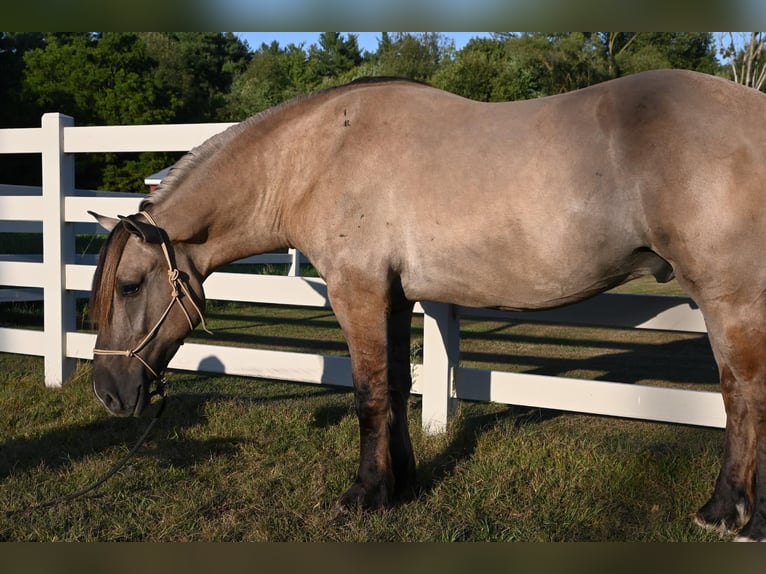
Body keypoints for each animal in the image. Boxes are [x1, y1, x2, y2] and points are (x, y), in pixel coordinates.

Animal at [90, 70, 766, 544]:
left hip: (730, 299)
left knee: (742, 395)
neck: (318, 157)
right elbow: (395, 387)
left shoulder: (357, 293)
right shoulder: (392, 297)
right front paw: (403, 484)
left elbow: (367, 394)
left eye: (129, 286)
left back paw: (725, 513)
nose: (107, 391)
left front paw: (363, 495)